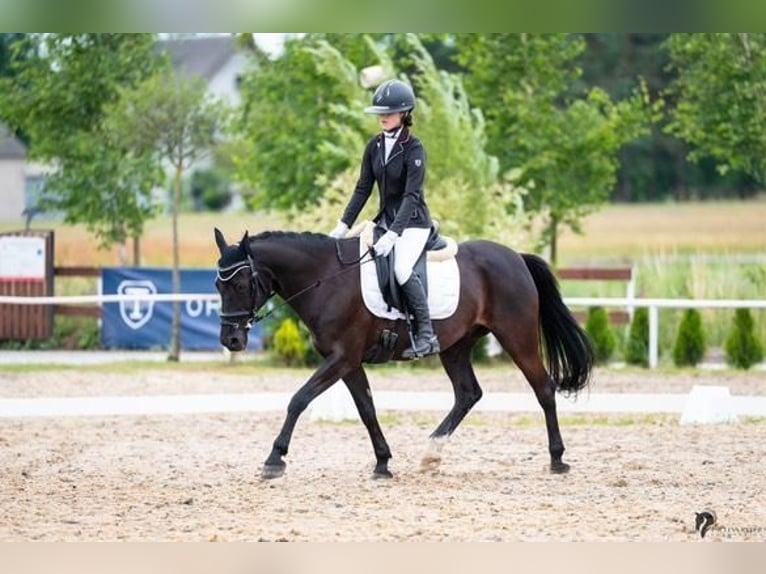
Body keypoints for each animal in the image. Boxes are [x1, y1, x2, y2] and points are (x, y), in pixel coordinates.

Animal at [213, 230, 596, 482]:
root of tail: (516, 257)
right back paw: (431, 455)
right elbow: (366, 410)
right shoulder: (349, 363)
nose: (230, 339)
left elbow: (298, 400)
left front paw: (274, 459)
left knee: (543, 389)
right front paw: (382, 464)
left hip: (518, 337)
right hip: (455, 347)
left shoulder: (341, 358)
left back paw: (557, 459)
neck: (327, 279)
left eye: (241, 284)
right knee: (468, 394)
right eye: (218, 285)